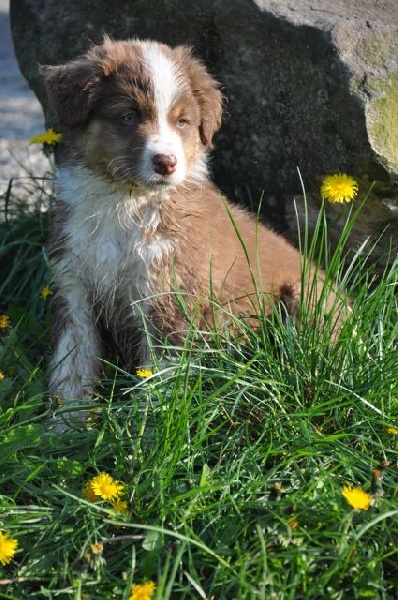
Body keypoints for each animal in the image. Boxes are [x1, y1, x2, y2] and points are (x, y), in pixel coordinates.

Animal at [42, 36, 342, 422]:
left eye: (182, 121)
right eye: (128, 116)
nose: (166, 163)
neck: (124, 203)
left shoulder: (168, 297)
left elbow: (158, 379)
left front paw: (148, 429)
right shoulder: (73, 285)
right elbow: (72, 365)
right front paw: (65, 425)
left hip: (304, 301)